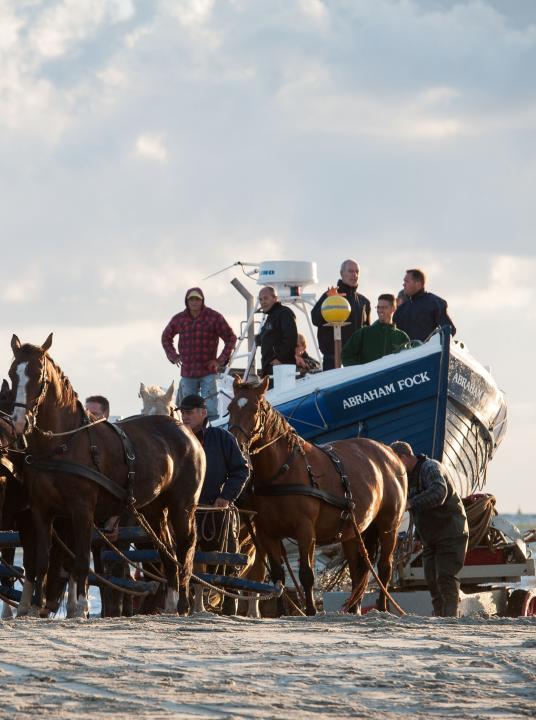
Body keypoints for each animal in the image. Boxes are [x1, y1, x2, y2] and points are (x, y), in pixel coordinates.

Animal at [8, 334, 205, 616]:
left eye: (38, 374)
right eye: (13, 373)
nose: (19, 421)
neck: (62, 443)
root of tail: (186, 431)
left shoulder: (81, 509)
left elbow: (80, 561)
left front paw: (80, 607)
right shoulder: (41, 510)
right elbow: (42, 560)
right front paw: (35, 607)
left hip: (183, 506)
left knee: (185, 549)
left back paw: (183, 604)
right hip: (154, 509)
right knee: (166, 552)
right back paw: (170, 604)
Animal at [226, 374, 406, 616]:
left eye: (254, 409)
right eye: (230, 408)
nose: (235, 443)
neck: (282, 470)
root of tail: (389, 453)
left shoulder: (305, 530)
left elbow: (306, 574)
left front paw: (310, 610)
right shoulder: (266, 533)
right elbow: (277, 575)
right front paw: (282, 612)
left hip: (388, 526)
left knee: (385, 568)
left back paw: (383, 607)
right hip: (353, 531)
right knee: (358, 570)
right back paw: (354, 609)